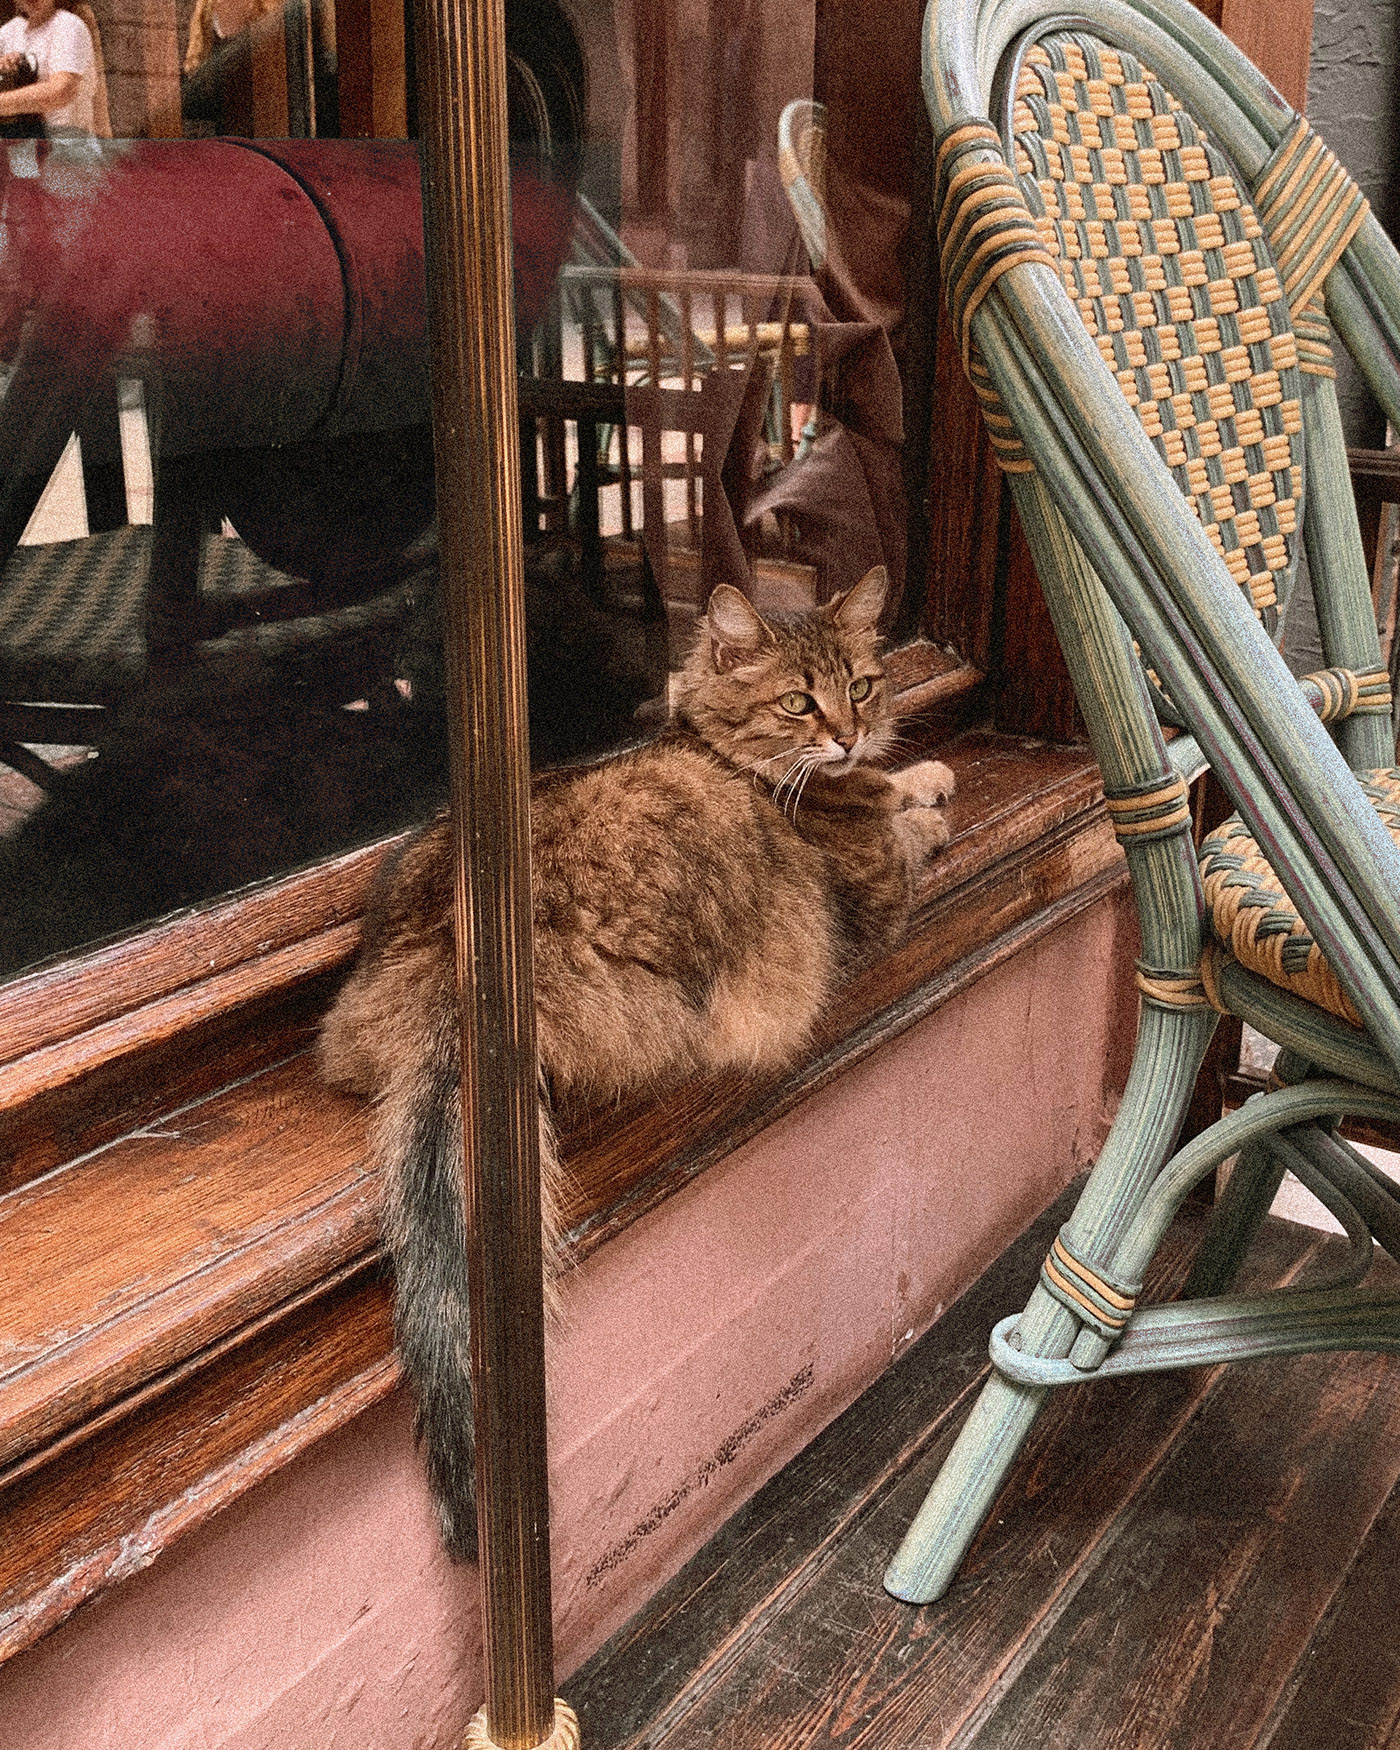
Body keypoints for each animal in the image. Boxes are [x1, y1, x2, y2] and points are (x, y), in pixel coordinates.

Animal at [315, 563, 952, 1561]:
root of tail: (450, 968)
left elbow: (903, 784)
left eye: (864, 686)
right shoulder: (875, 887)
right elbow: (907, 829)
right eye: (799, 703)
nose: (848, 735)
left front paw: (918, 771)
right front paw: (920, 794)